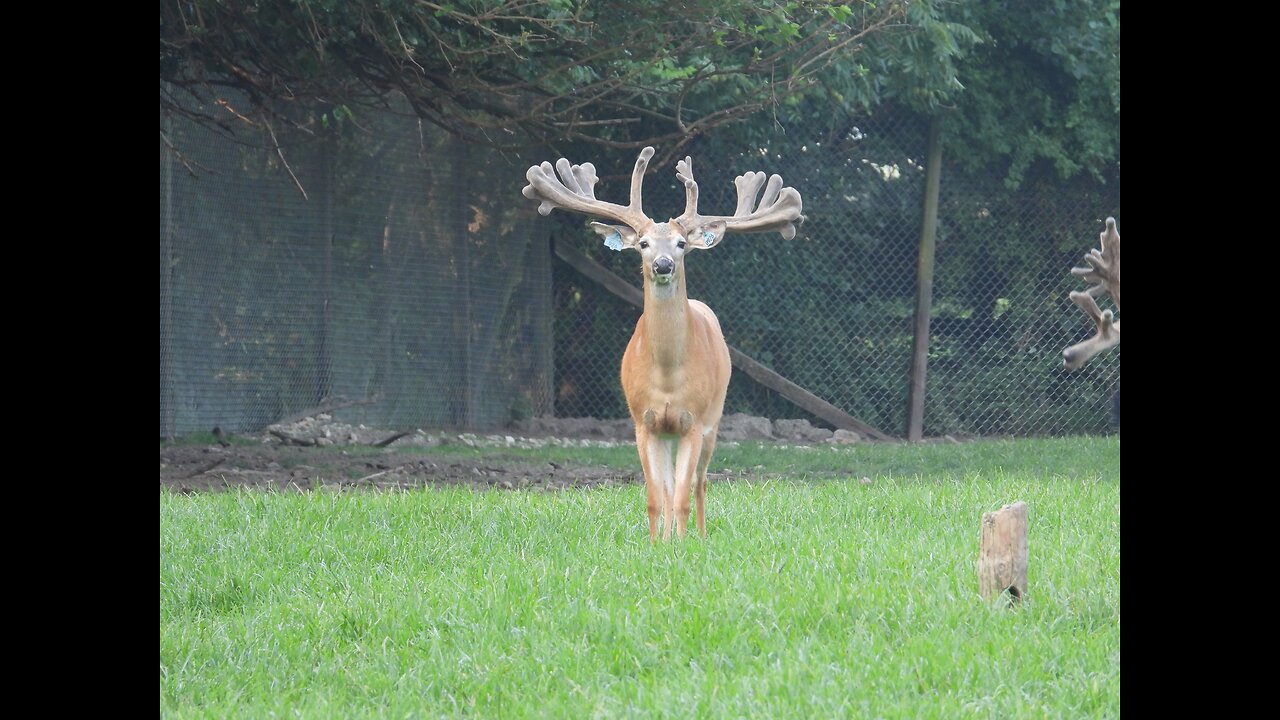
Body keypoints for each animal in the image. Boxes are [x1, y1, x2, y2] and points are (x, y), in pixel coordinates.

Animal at [519, 146, 798, 538]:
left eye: (681, 244)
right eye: (644, 243)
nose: (663, 264)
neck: (667, 376)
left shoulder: (693, 420)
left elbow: (681, 496)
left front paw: (682, 545)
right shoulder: (643, 421)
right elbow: (656, 497)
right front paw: (657, 545)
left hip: (714, 418)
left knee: (700, 483)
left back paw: (701, 534)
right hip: (667, 432)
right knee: (668, 488)